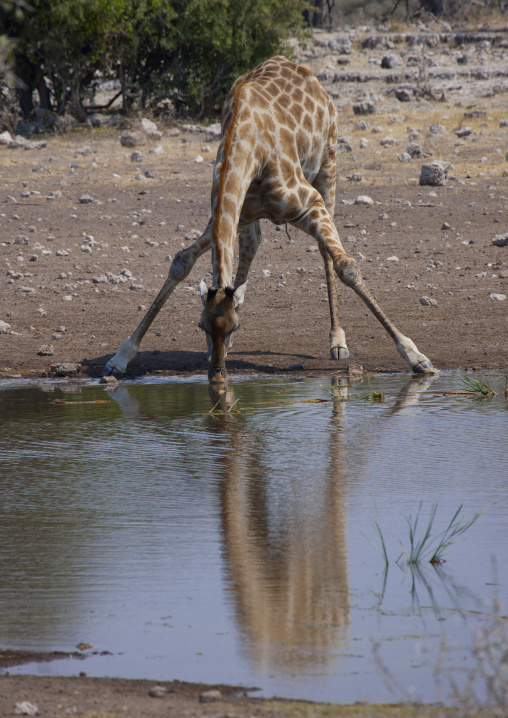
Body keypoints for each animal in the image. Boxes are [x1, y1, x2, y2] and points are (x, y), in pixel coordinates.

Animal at [103, 56, 435, 382]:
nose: (217, 375)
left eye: (234, 326)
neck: (249, 147)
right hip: (254, 216)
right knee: (252, 244)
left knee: (325, 254)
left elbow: (347, 268)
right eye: (201, 326)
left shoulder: (310, 204)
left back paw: (338, 341)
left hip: (328, 166)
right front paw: (119, 359)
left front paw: (415, 356)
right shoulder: (228, 214)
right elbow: (181, 261)